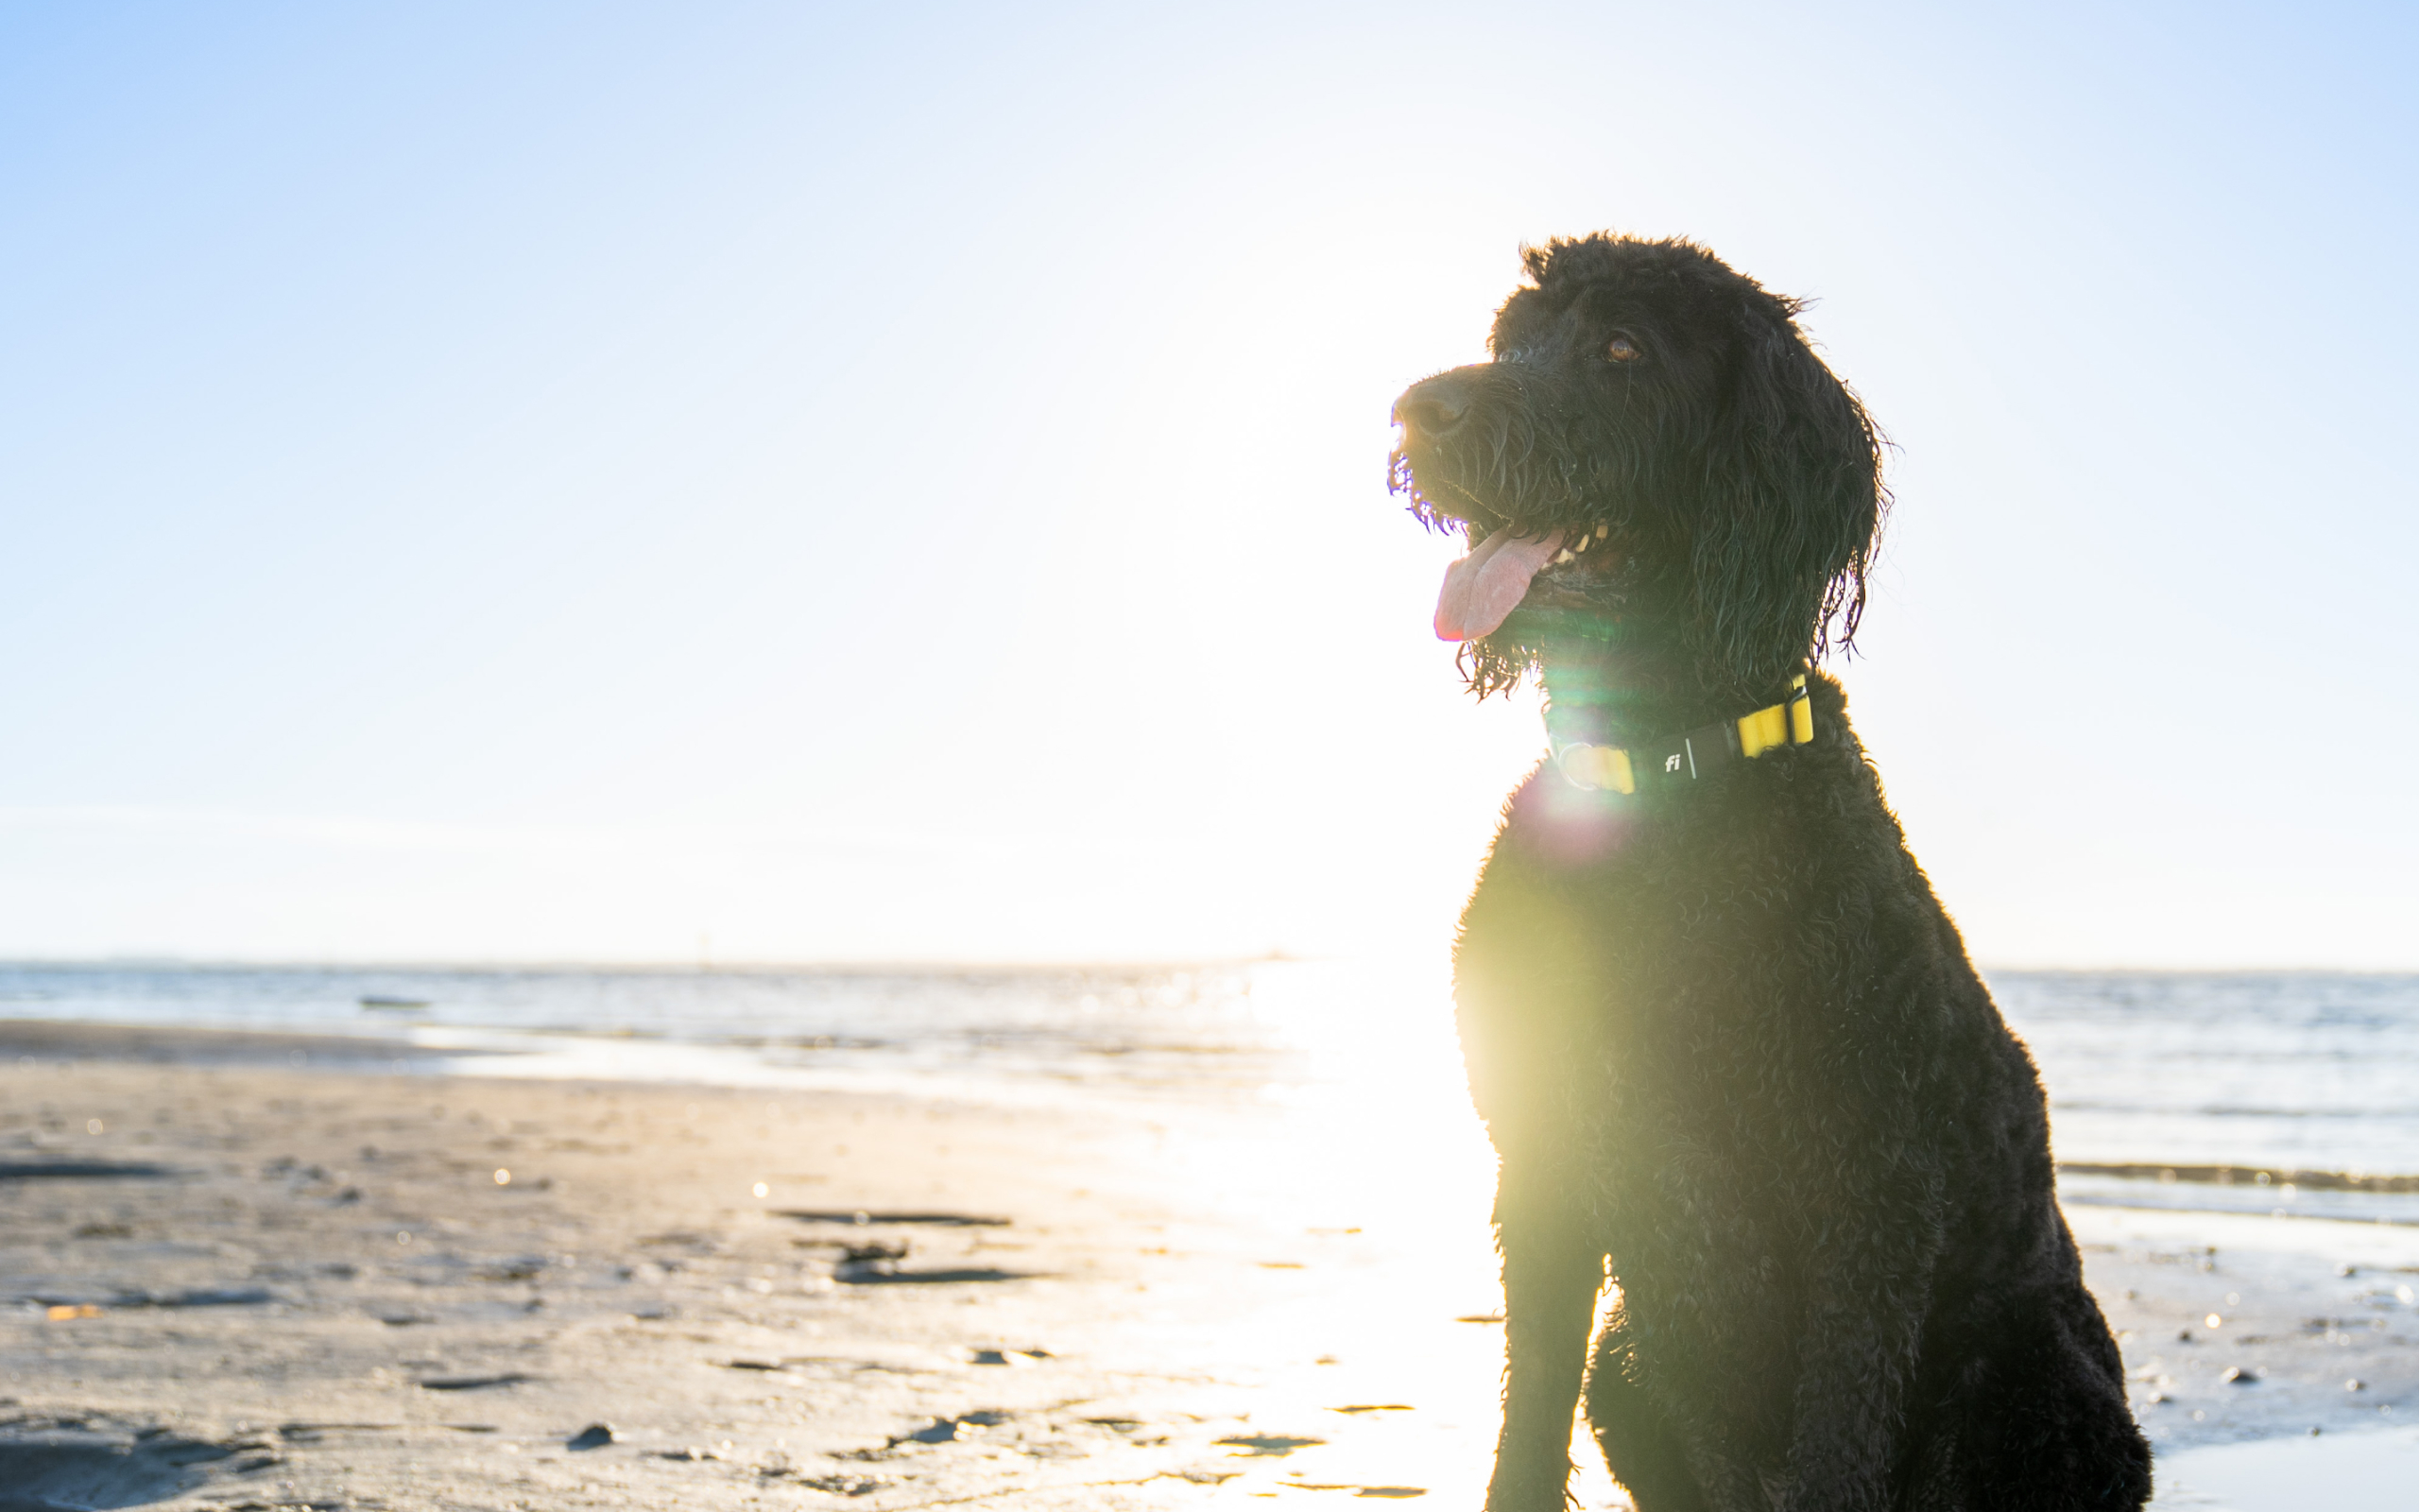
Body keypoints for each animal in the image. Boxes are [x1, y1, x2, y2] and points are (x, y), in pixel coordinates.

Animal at [1394, 230, 2149, 1500]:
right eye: (1510, 339)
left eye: (1619, 349)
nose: (1418, 410)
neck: (1661, 781)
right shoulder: (1540, 1161)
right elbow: (1525, 1423)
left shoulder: (1865, 1187)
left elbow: (1838, 1439)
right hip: (1627, 1358)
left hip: (2030, 1364)